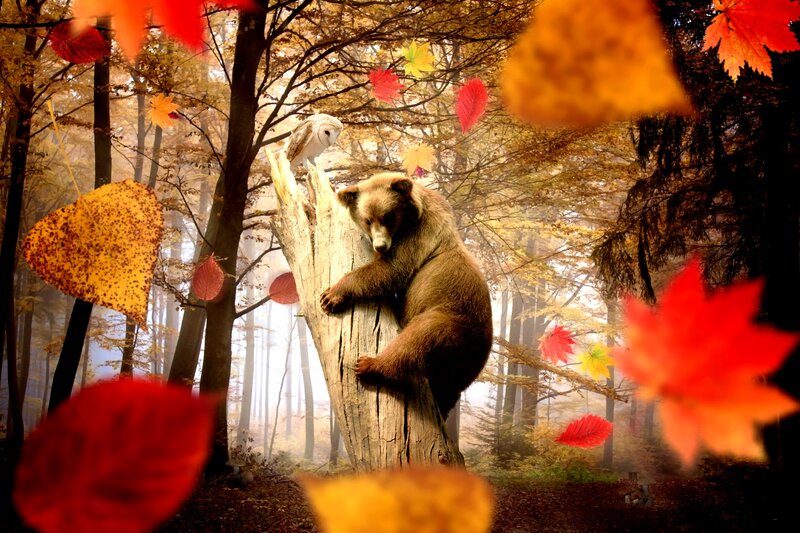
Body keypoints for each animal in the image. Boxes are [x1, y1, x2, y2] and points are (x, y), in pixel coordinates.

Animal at [319, 172, 493, 417]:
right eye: (368, 219)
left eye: (388, 216)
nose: (380, 246)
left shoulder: (418, 236)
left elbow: (390, 270)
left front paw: (331, 296)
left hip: (452, 322)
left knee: (417, 339)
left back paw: (368, 364)